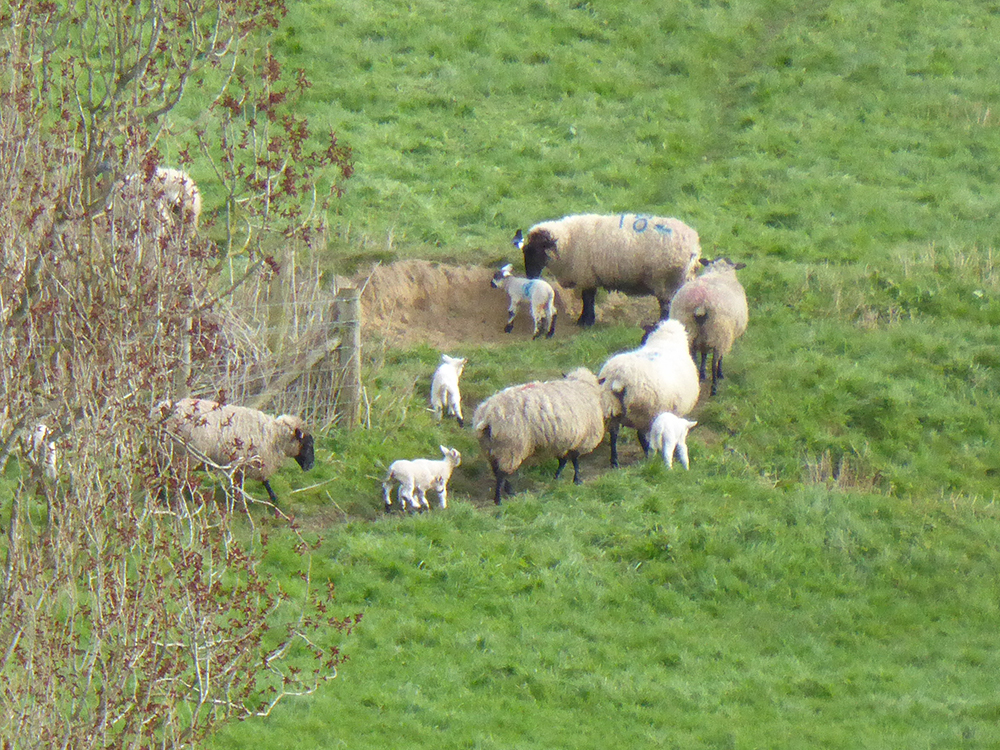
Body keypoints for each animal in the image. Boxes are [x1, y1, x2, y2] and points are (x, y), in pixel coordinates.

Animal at [154, 397, 314, 505]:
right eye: (307, 444)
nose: (311, 467)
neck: (274, 435)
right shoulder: (253, 460)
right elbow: (263, 481)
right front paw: (272, 498)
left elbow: (245, 482)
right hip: (183, 453)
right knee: (179, 476)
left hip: (166, 452)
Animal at [473, 367, 605, 505]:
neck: (582, 386)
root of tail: (487, 416)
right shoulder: (581, 439)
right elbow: (574, 460)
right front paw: (577, 480)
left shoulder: (561, 441)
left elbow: (562, 460)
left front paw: (556, 478)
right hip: (510, 446)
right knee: (501, 474)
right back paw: (498, 500)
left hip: (490, 448)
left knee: (496, 470)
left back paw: (510, 491)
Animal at [517, 213, 701, 327]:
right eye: (525, 251)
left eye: (537, 251)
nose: (530, 275)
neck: (567, 240)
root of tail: (693, 245)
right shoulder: (589, 276)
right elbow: (588, 298)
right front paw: (585, 320)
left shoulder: (586, 275)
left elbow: (587, 298)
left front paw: (585, 322)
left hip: (665, 279)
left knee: (665, 305)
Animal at [597, 318, 699, 468]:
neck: (665, 340)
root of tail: (618, 375)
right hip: (643, 411)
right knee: (642, 436)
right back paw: (647, 457)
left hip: (611, 406)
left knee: (614, 434)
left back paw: (615, 462)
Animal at [668, 257, 748, 396]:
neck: (719, 271)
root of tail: (701, 302)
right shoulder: (723, 337)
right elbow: (719, 358)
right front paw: (720, 374)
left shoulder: (703, 338)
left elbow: (704, 354)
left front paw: (702, 374)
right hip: (718, 332)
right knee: (714, 361)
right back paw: (714, 388)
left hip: (689, 328)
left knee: (693, 357)